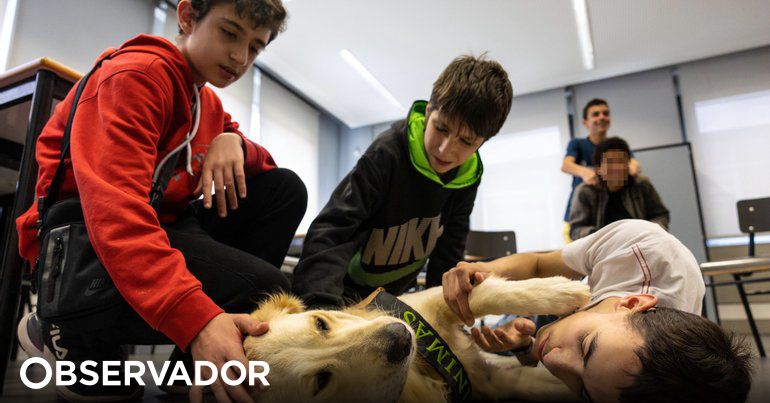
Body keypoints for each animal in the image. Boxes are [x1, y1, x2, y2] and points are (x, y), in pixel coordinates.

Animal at [244, 278, 588, 403]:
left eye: (321, 324)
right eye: (321, 380)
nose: (400, 337)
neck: (421, 370)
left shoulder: (433, 301)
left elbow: (489, 294)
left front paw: (563, 291)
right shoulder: (495, 381)